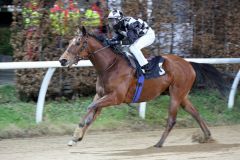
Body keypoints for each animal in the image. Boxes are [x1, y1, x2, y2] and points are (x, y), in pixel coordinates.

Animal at [58, 26, 227, 148]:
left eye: (78, 43)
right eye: (70, 42)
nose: (62, 60)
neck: (110, 66)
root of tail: (188, 63)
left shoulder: (115, 97)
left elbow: (90, 109)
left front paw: (76, 134)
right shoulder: (101, 95)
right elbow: (92, 113)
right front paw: (75, 138)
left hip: (176, 94)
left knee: (172, 119)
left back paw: (158, 144)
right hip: (182, 96)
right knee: (195, 113)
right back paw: (207, 137)